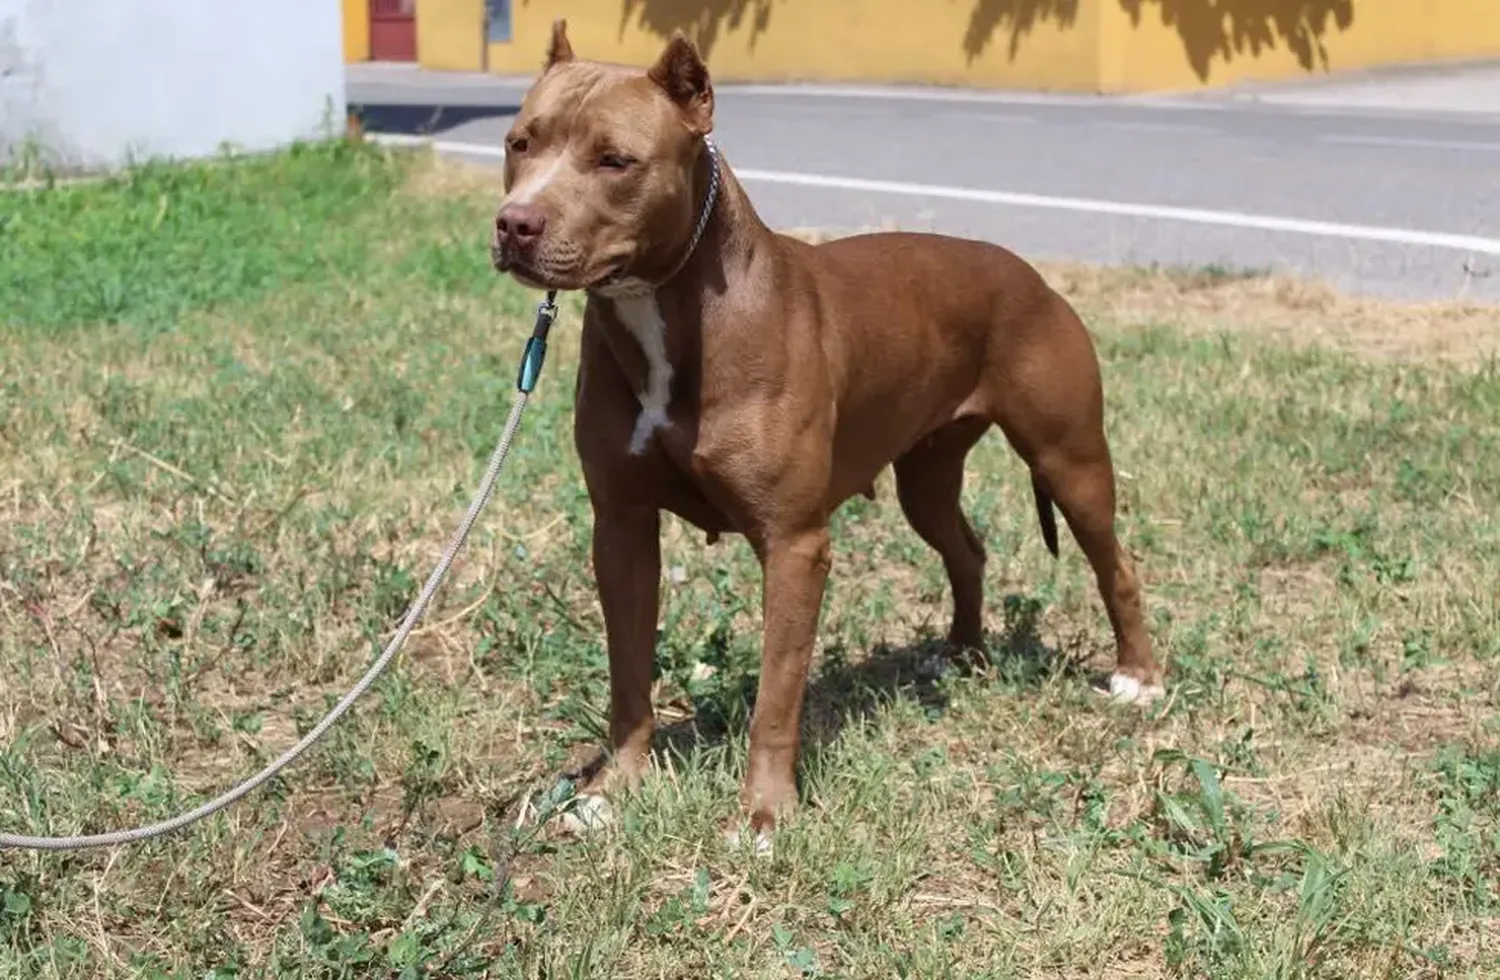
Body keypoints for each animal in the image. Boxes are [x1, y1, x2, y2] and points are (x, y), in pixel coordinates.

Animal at [492, 22, 1158, 846]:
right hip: (926, 476)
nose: (515, 223)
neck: (667, 305)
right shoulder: (621, 527)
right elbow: (628, 672)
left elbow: (777, 697)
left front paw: (763, 814)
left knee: (1113, 561)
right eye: (520, 143)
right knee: (965, 549)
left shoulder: (793, 546)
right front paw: (613, 787)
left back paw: (1138, 678)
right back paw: (960, 653)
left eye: (615, 160)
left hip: (1070, 459)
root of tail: (1030, 273)